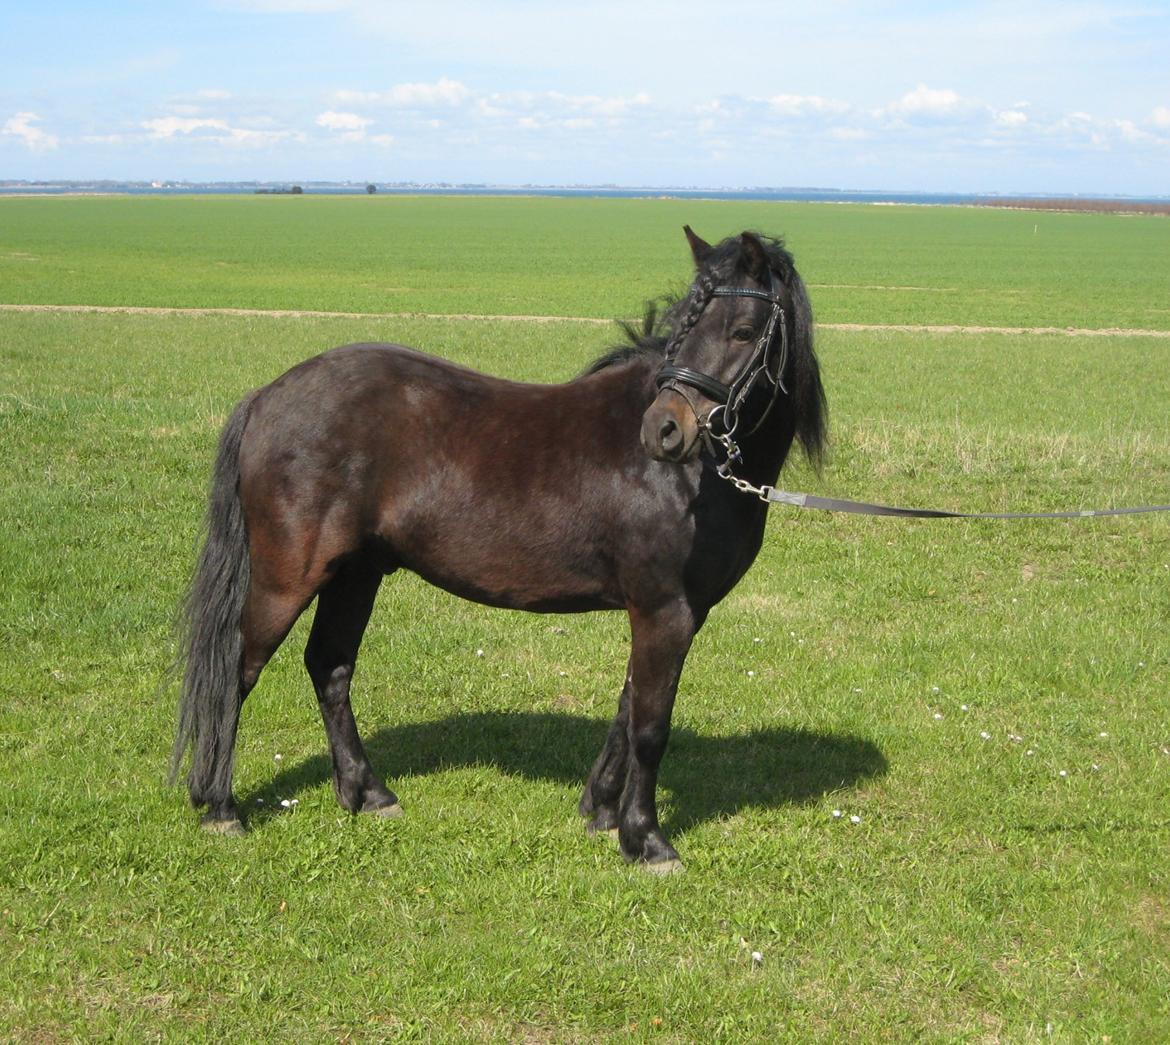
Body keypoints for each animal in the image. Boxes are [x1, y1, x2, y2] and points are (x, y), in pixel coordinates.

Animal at [170, 226, 827, 872]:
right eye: (686, 324)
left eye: (743, 330)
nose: (663, 431)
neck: (697, 478)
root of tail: (267, 396)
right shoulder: (665, 610)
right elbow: (649, 726)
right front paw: (646, 840)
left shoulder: (672, 613)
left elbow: (628, 707)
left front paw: (600, 811)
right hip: (288, 577)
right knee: (236, 671)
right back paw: (220, 807)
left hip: (355, 574)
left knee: (329, 667)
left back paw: (368, 793)